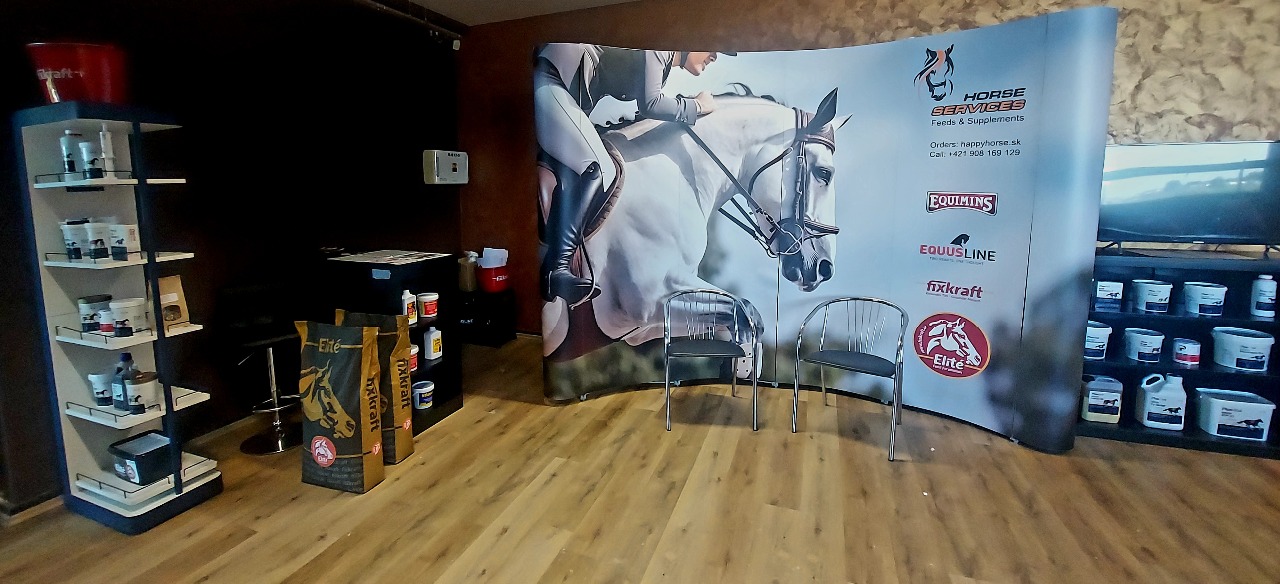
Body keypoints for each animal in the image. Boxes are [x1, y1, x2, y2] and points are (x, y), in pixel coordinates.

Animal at [540, 88, 850, 361]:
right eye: (824, 173)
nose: (825, 268)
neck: (673, 170)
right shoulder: (649, 296)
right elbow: (745, 311)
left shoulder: (642, 327)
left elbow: (741, 319)